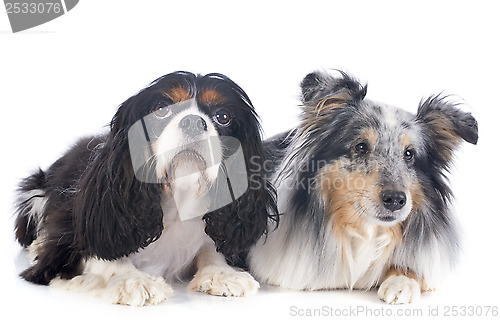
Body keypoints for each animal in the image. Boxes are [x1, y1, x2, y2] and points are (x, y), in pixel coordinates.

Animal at [14, 71, 278, 306]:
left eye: (223, 116)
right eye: (161, 109)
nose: (193, 122)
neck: (178, 198)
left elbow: (210, 247)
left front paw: (222, 272)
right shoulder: (71, 244)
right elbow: (102, 255)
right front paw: (131, 279)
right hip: (34, 195)